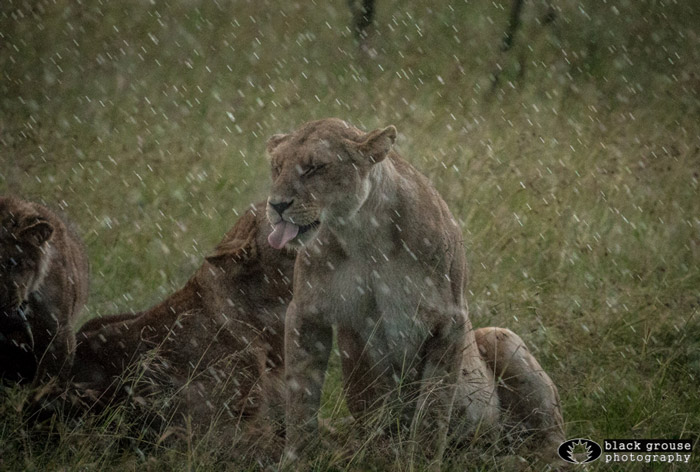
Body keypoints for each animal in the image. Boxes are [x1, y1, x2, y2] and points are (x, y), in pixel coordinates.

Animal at [266, 120, 568, 466]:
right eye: (277, 167)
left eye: (315, 167)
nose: (276, 205)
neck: (362, 233)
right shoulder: (307, 312)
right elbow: (300, 395)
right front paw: (296, 458)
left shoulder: (449, 319)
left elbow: (433, 406)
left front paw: (422, 460)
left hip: (499, 336)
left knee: (548, 434)